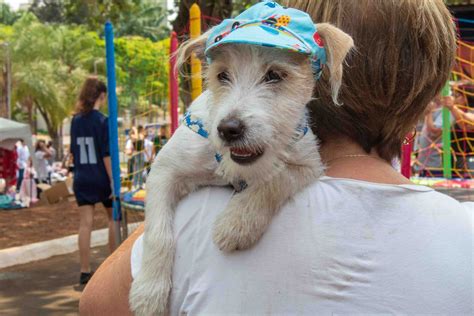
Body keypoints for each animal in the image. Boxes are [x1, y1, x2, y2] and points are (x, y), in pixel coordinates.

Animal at [130, 1, 352, 314]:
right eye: (222, 75)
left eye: (274, 75)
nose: (228, 129)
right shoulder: (164, 171)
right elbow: (158, 232)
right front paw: (149, 293)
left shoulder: (307, 163)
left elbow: (274, 181)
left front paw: (237, 224)